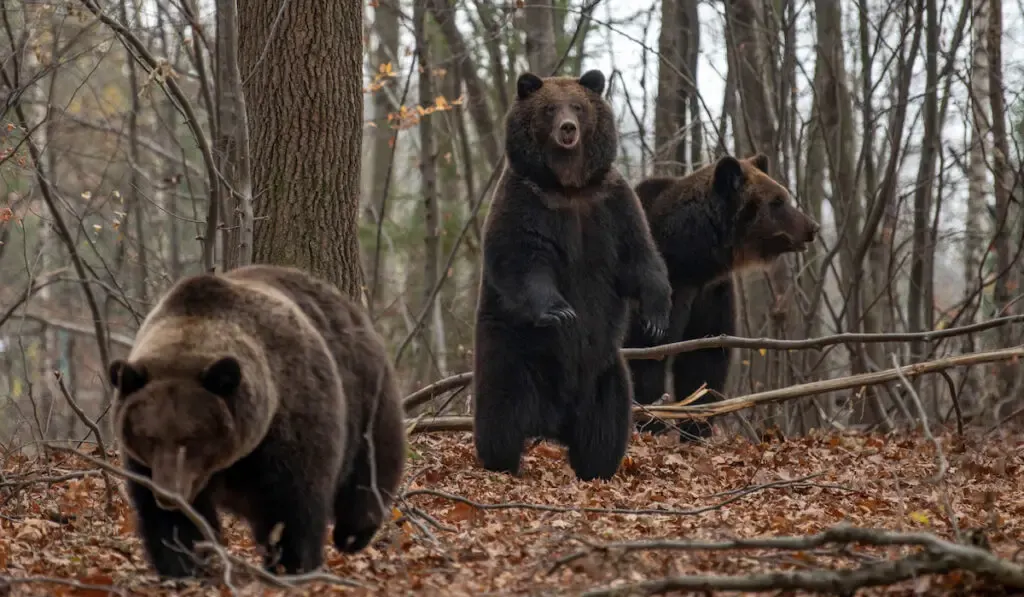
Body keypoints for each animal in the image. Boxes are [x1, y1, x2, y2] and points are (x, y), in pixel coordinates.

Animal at [107, 264, 403, 577]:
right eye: (149, 437)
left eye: (192, 438)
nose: (169, 495)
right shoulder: (146, 465)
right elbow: (171, 524)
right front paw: (184, 566)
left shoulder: (290, 426)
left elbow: (292, 508)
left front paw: (292, 565)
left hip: (366, 393)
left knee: (372, 465)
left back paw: (353, 534)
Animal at [471, 70, 671, 483]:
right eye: (550, 108)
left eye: (577, 106)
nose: (568, 128)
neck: (568, 186)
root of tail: (551, 424)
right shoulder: (526, 202)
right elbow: (523, 259)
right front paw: (559, 311)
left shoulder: (611, 204)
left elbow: (640, 257)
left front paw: (657, 317)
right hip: (511, 351)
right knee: (501, 411)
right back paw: (502, 462)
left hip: (603, 373)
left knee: (609, 421)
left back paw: (597, 468)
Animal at [618, 154, 819, 444]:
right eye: (778, 201)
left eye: (784, 196)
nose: (812, 227)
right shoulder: (661, 291)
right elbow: (646, 358)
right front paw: (651, 425)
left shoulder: (711, 294)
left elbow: (705, 361)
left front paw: (697, 428)